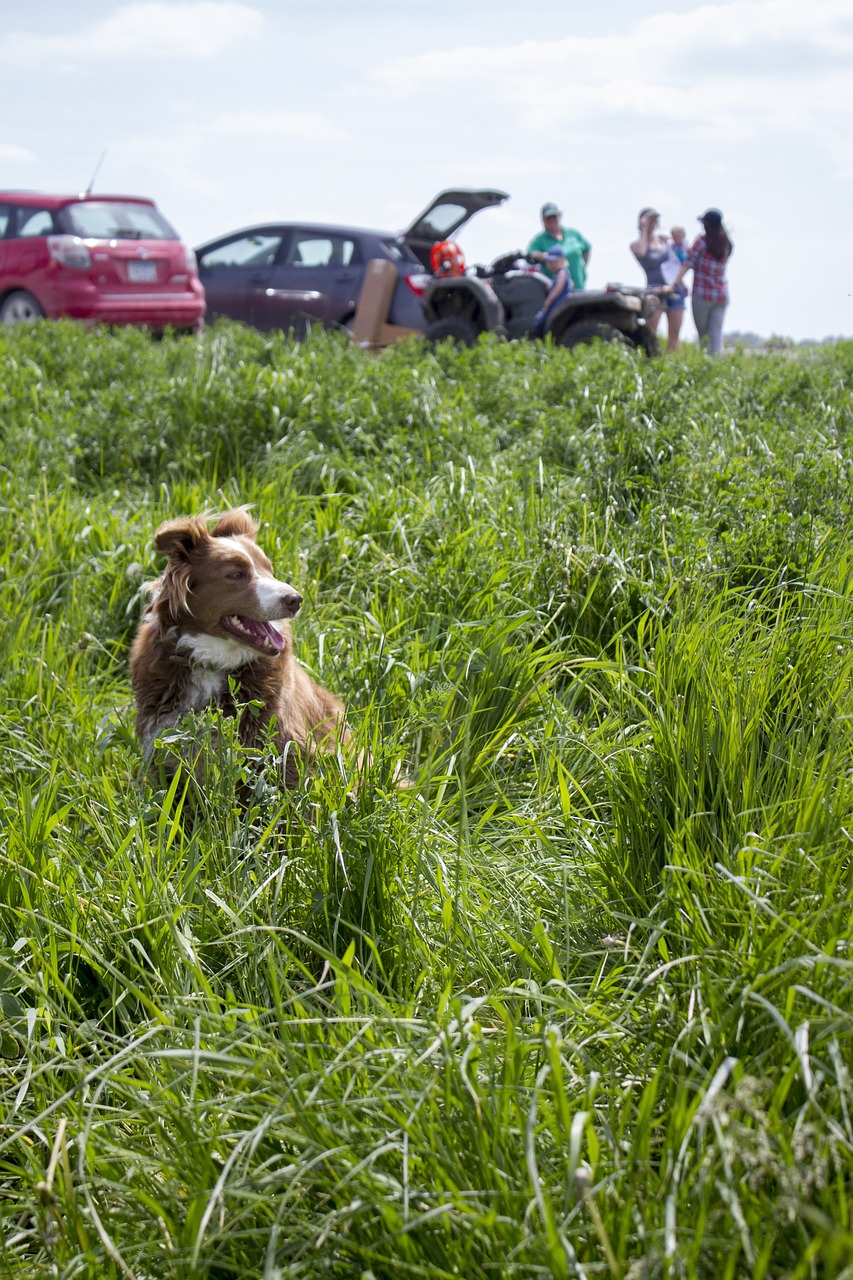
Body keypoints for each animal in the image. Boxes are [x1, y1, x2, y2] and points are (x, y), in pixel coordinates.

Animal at [129, 506, 343, 783]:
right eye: (236, 574)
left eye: (269, 569)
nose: (295, 599)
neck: (211, 663)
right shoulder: (160, 737)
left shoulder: (284, 742)